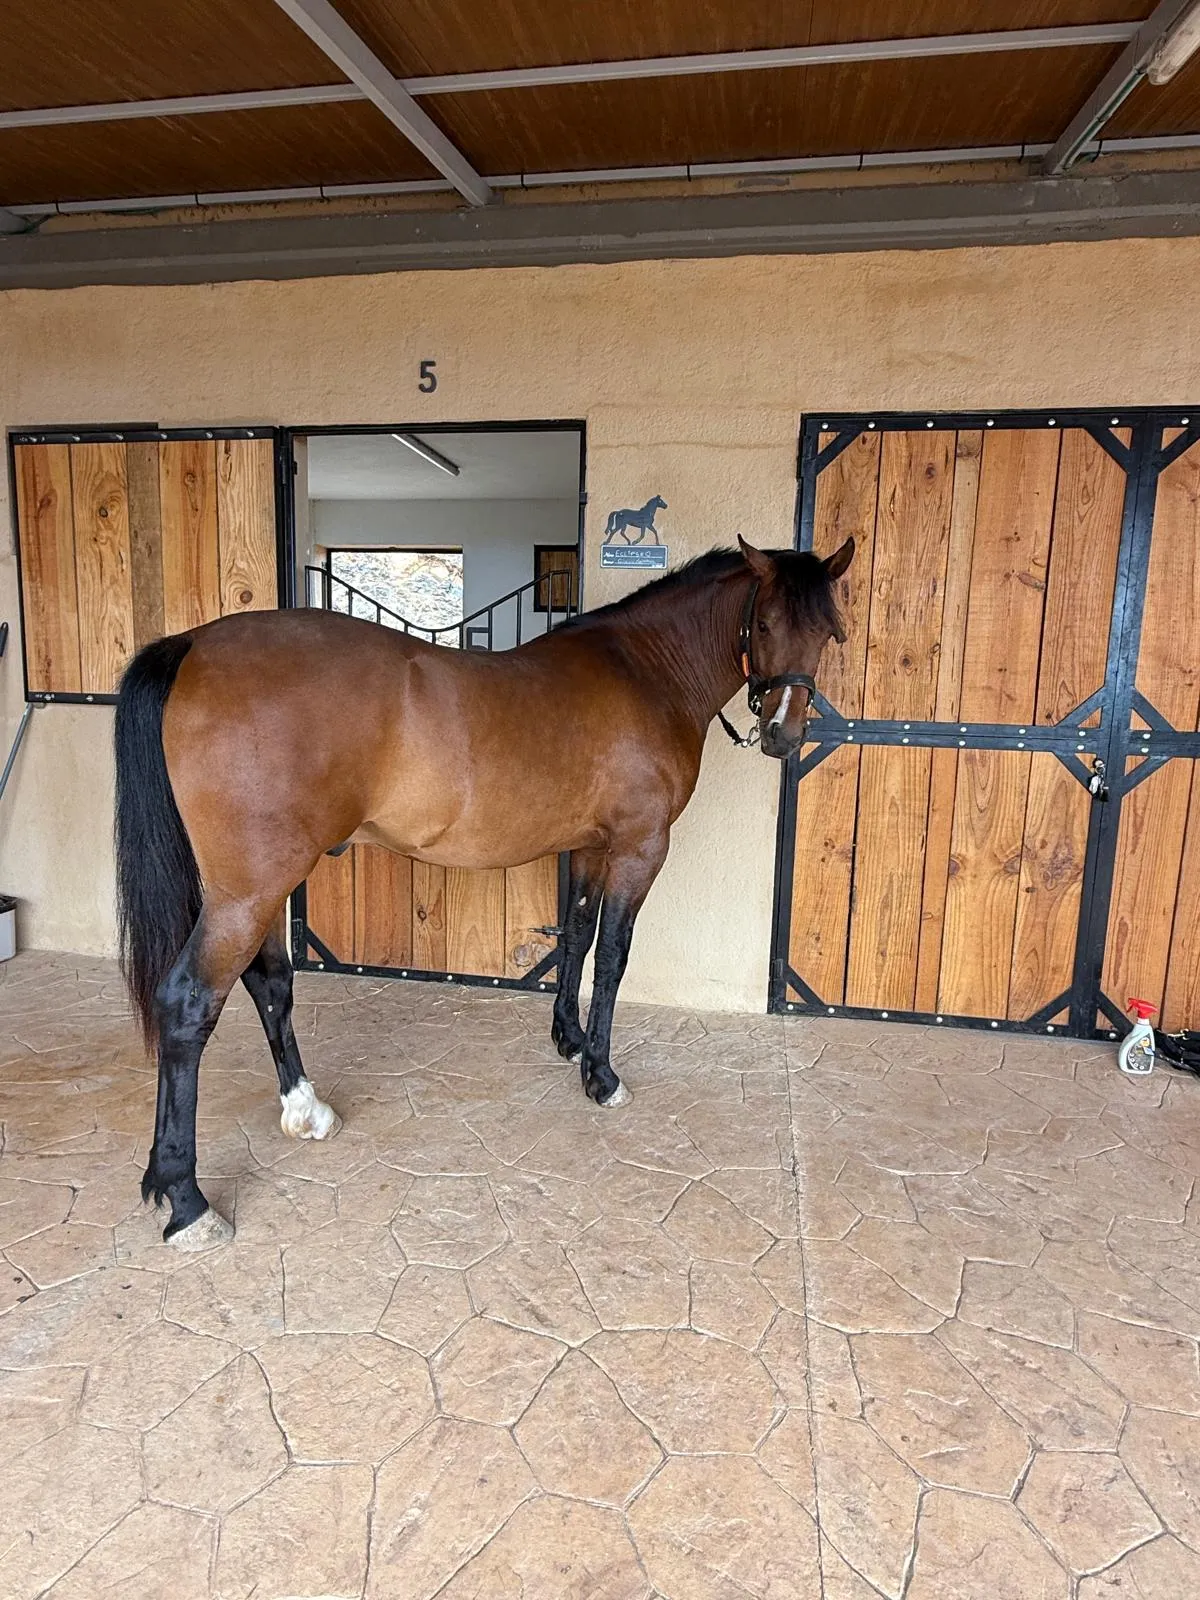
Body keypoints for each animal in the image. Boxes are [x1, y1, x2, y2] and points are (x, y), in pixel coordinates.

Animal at [114, 535, 853, 1249]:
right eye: (764, 621)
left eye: (829, 632)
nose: (785, 735)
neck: (644, 670)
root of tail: (194, 644)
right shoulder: (638, 848)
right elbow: (613, 956)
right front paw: (601, 1075)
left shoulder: (588, 847)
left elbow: (577, 938)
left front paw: (569, 1040)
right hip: (250, 892)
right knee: (189, 1004)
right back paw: (187, 1200)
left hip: (260, 888)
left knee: (270, 982)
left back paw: (305, 1108)